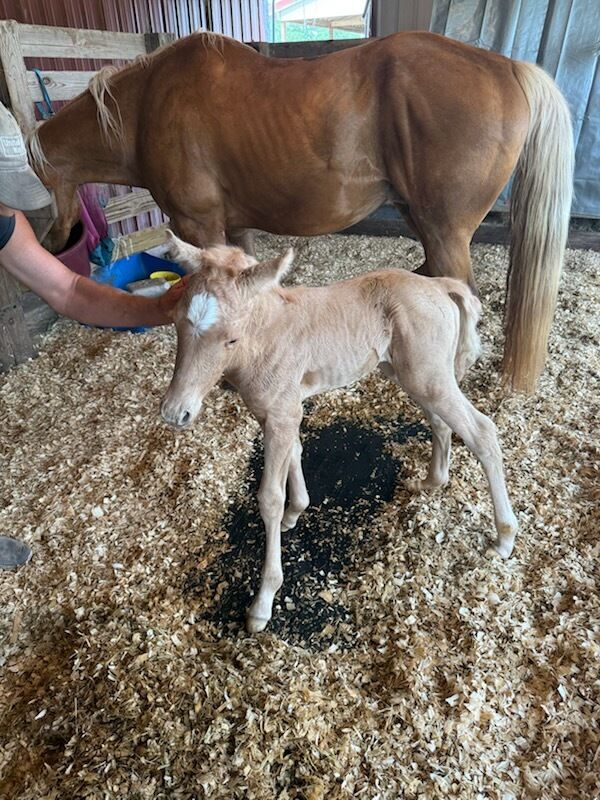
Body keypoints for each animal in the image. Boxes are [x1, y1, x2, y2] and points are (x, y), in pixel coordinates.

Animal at [28, 31, 574, 393]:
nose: (52, 246)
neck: (146, 108)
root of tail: (506, 67)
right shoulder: (234, 230)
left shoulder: (199, 225)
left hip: (444, 230)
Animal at [160, 232, 518, 633]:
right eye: (176, 321)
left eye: (231, 338)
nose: (175, 412)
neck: (266, 337)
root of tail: (441, 285)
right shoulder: (281, 412)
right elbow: (295, 454)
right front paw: (296, 512)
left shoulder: (281, 413)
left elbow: (269, 497)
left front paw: (262, 602)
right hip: (412, 377)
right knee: (441, 422)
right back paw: (430, 482)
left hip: (429, 379)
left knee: (482, 431)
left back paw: (504, 538)